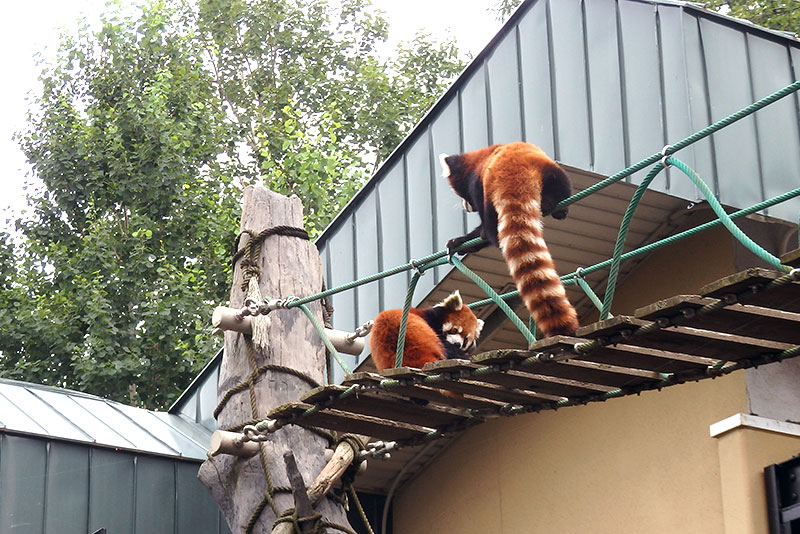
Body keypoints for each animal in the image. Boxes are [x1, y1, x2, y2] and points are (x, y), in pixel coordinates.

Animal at [440, 142, 580, 340]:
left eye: (462, 195)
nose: (465, 206)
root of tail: (515, 169)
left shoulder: (476, 185)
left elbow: (484, 229)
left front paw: (464, 240)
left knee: (491, 228)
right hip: (554, 173)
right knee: (562, 187)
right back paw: (559, 209)